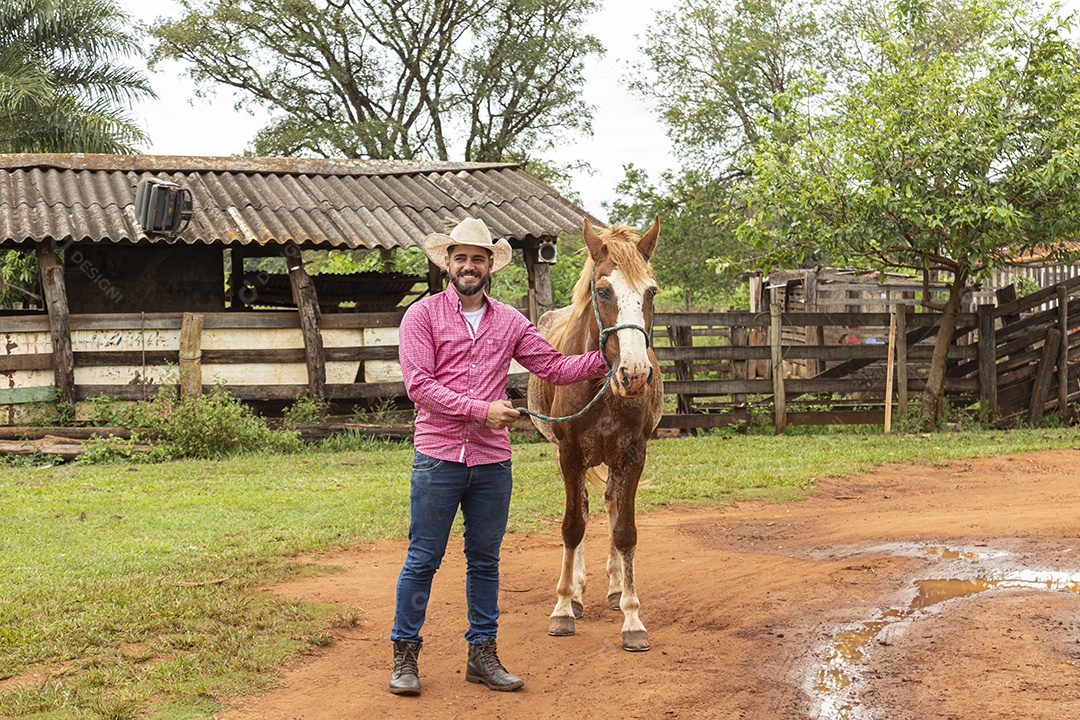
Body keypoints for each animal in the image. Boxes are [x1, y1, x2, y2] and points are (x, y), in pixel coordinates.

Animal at [526, 216, 662, 652]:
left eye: (650, 291)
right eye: (603, 291)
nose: (634, 374)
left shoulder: (633, 454)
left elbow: (625, 531)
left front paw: (633, 618)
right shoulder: (569, 454)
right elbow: (573, 526)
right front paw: (563, 608)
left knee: (611, 505)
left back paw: (616, 588)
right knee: (584, 510)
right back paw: (578, 592)